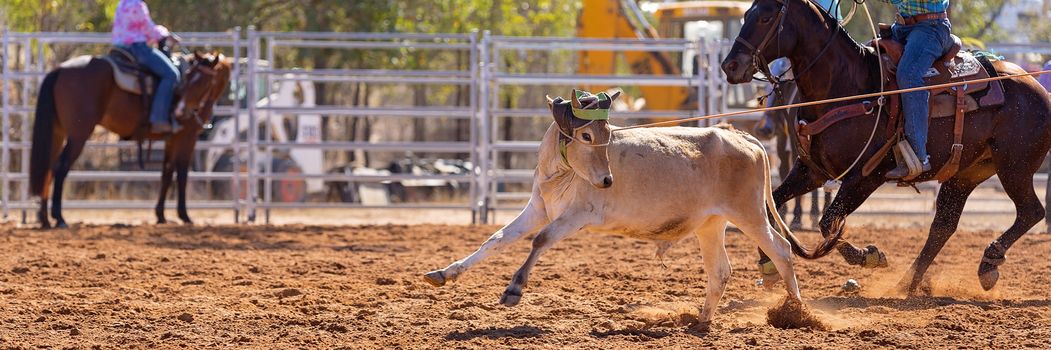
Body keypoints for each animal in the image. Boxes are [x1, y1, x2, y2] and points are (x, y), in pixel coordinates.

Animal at [29, 51, 232, 225]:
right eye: (189, 77)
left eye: (204, 81)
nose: (181, 111)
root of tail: (59, 70)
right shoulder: (186, 137)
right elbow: (182, 174)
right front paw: (184, 216)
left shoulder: (171, 139)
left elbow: (167, 173)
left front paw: (160, 215)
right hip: (79, 134)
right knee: (60, 167)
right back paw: (59, 218)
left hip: (57, 132)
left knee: (47, 168)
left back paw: (44, 219)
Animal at [422, 89, 798, 323]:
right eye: (586, 135)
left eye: (607, 135)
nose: (606, 181)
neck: (562, 172)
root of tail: (740, 136)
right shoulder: (538, 209)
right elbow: (497, 239)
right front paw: (444, 273)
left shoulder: (576, 216)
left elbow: (540, 240)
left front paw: (514, 289)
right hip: (711, 224)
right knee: (720, 270)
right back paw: (701, 319)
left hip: (749, 213)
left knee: (781, 250)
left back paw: (796, 312)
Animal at [718, 0, 1051, 292]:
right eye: (746, 14)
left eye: (765, 18)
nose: (729, 65)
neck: (846, 86)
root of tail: (1038, 88)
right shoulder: (812, 171)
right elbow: (768, 206)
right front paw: (768, 264)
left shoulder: (867, 175)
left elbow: (829, 222)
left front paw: (868, 256)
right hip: (967, 173)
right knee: (944, 225)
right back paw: (909, 283)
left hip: (1014, 166)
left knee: (1031, 212)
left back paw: (988, 263)